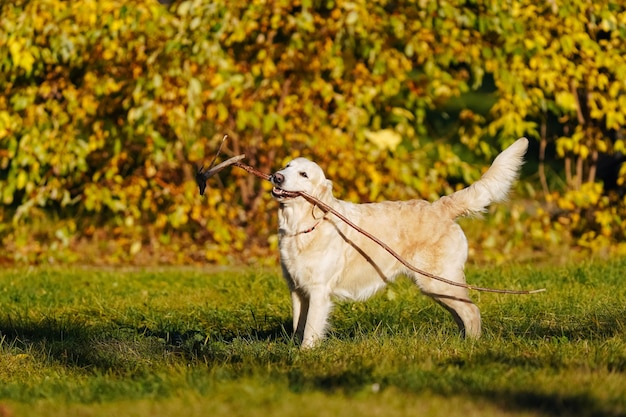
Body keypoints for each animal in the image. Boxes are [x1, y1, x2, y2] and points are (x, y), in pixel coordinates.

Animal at [268, 137, 528, 348]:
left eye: (303, 175)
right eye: (287, 166)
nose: (276, 177)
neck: (301, 228)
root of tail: (441, 206)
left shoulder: (318, 290)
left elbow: (311, 330)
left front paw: (305, 354)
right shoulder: (297, 290)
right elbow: (298, 325)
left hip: (439, 282)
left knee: (472, 311)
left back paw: (471, 345)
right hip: (439, 287)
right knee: (462, 313)